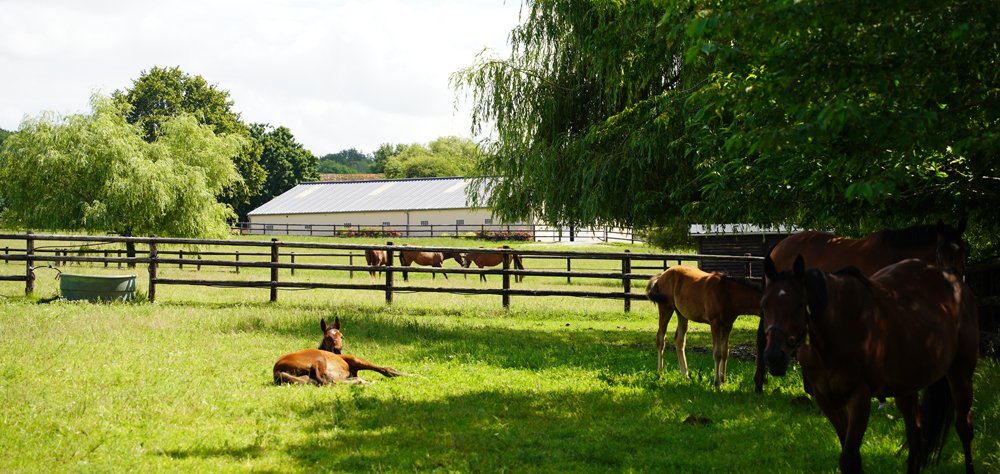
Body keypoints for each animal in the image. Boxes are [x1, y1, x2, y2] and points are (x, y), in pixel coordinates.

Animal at [273, 317, 404, 385]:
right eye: (328, 337)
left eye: (341, 336)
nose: (338, 350)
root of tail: (277, 370)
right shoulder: (354, 359)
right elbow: (387, 369)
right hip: (319, 360)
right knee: (328, 381)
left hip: (303, 378)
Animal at [754, 219, 967, 391]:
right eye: (941, 250)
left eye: (964, 250)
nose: (955, 278)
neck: (894, 255)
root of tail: (780, 245)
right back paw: (760, 383)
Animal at [761, 255, 978, 473]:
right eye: (764, 304)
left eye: (799, 305)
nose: (774, 356)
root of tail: (954, 279)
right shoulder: (826, 399)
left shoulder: (859, 396)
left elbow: (849, 458)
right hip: (906, 387)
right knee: (916, 435)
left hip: (960, 374)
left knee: (964, 428)